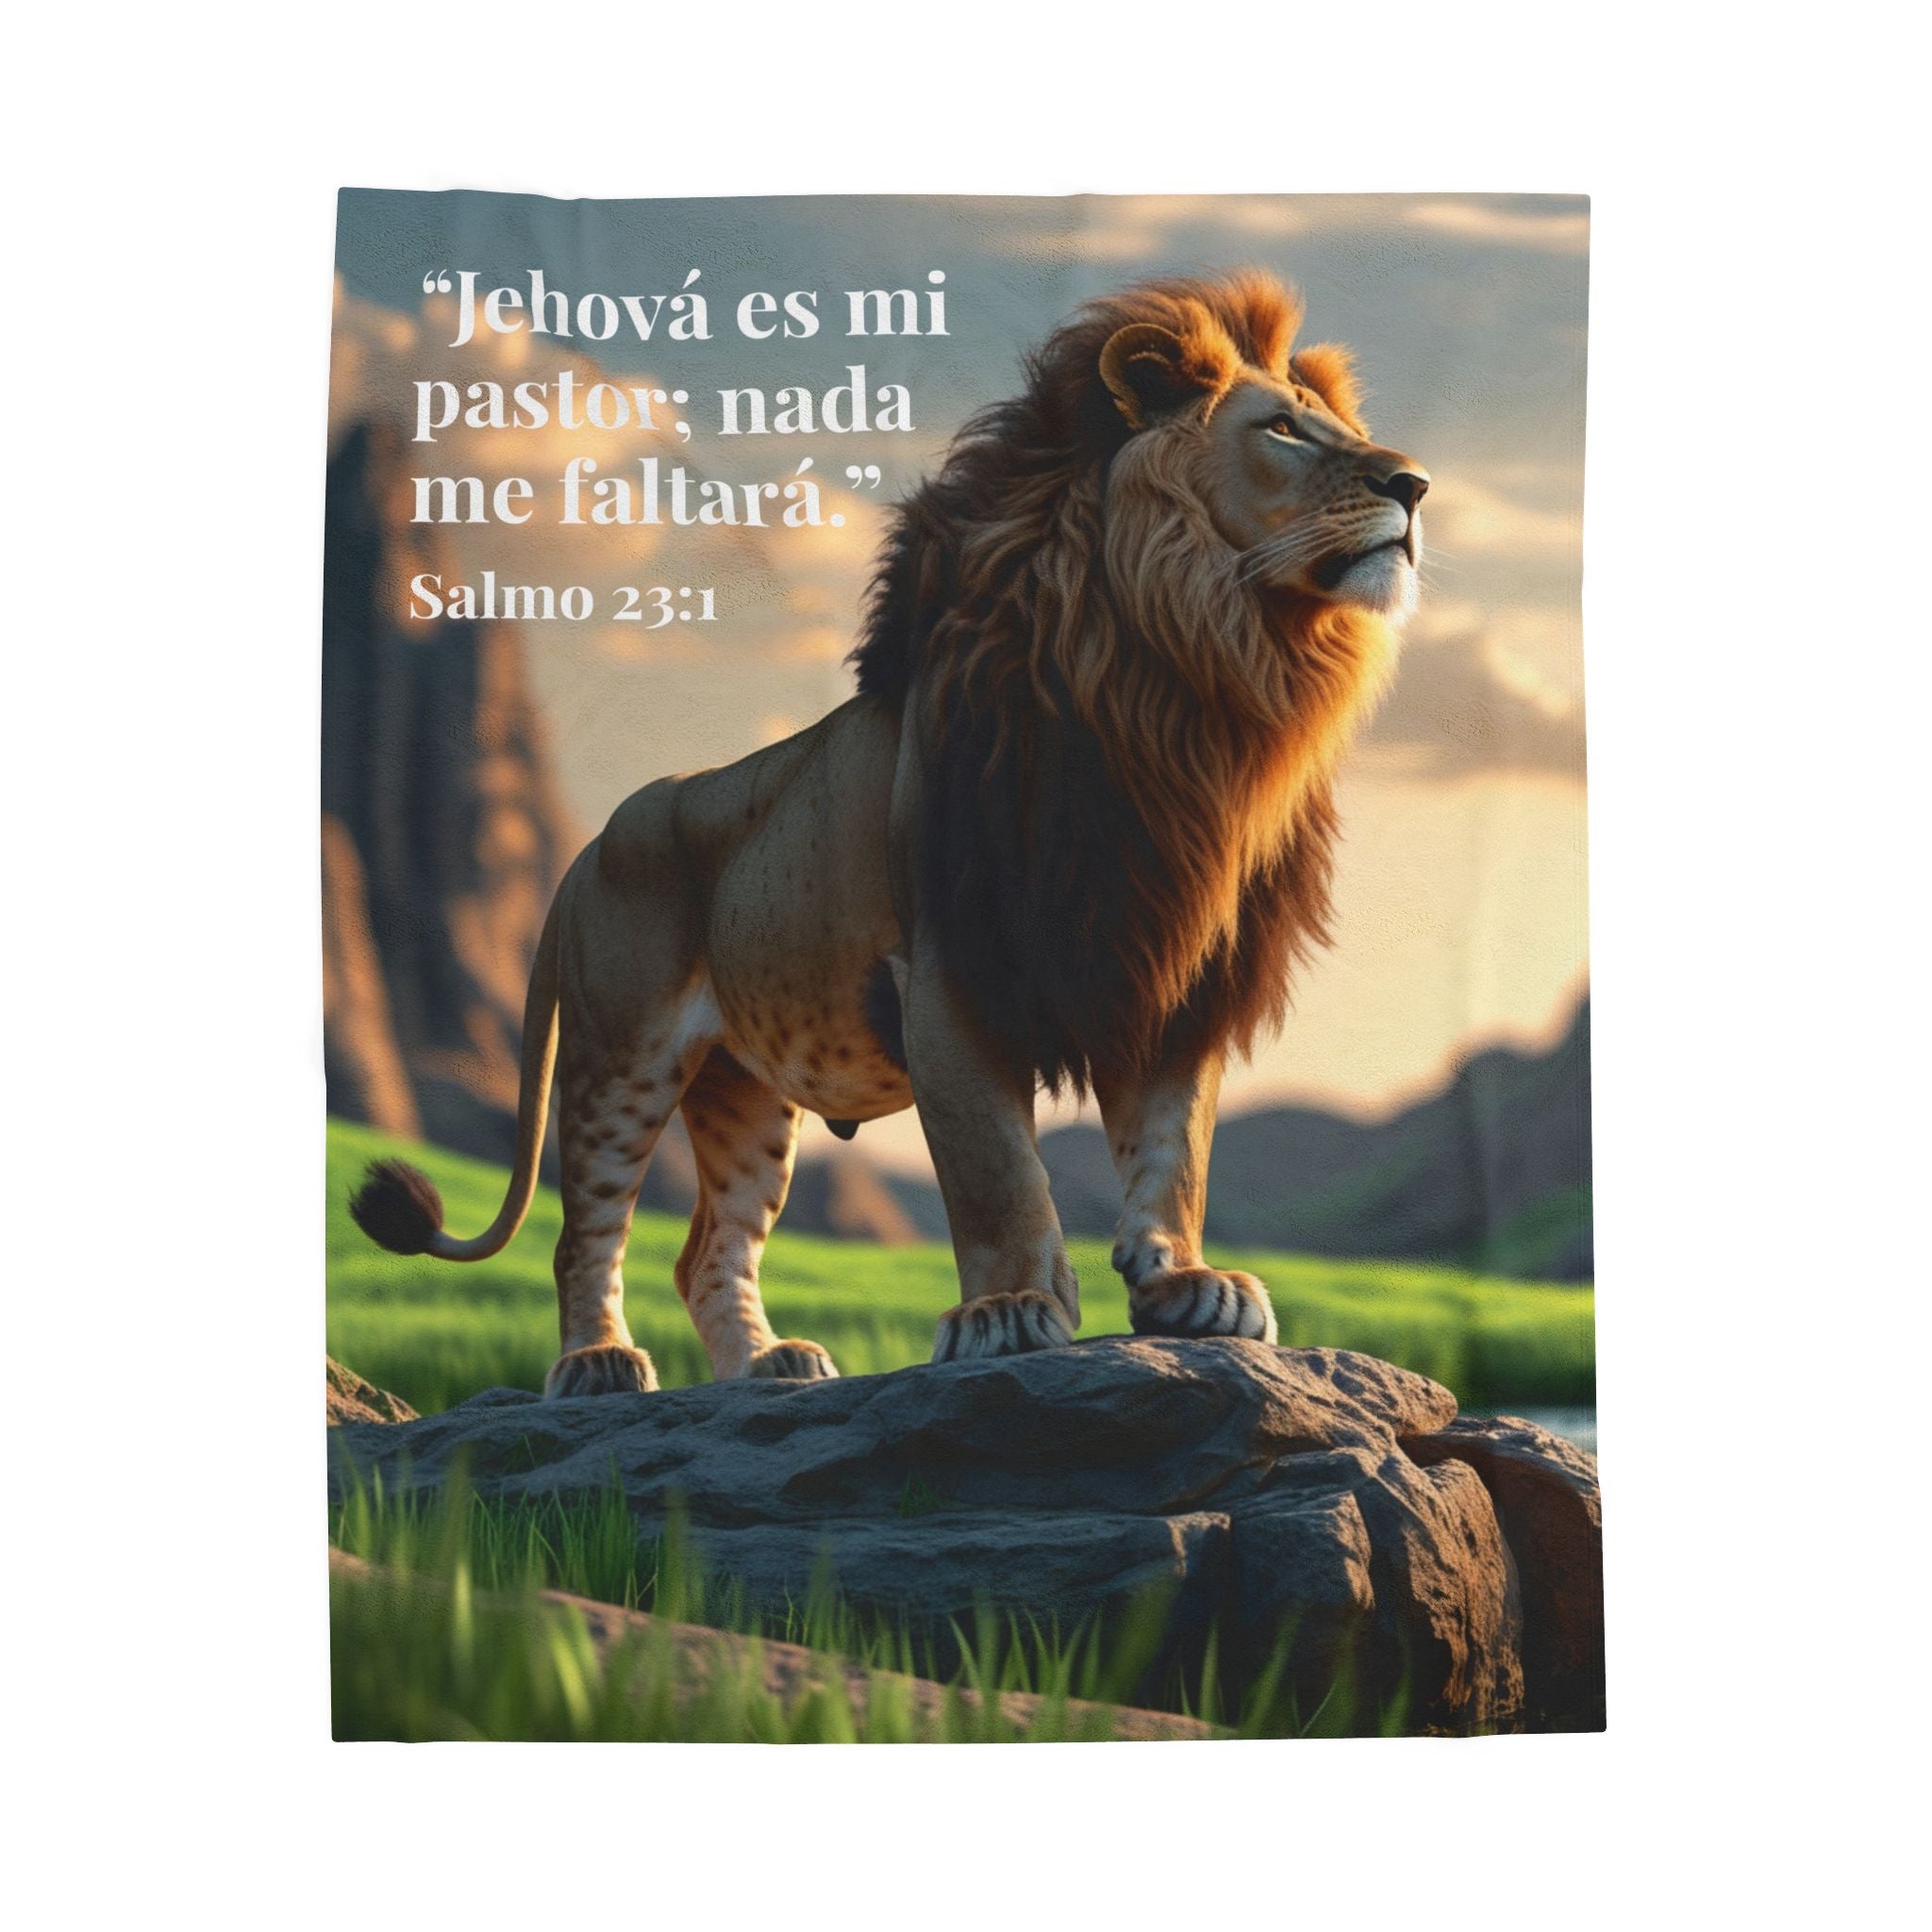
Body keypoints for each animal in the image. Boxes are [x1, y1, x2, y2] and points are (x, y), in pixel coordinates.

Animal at [349, 270, 1429, 1396]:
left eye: (1343, 429)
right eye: (1282, 430)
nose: (1414, 485)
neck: (1183, 678)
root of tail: (587, 847)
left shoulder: (1169, 960)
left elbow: (1173, 1148)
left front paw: (1186, 1285)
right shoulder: (950, 965)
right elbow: (995, 1166)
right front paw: (1008, 1311)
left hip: (744, 1088)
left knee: (709, 1248)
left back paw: (771, 1364)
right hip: (621, 1053)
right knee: (583, 1231)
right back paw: (600, 1362)